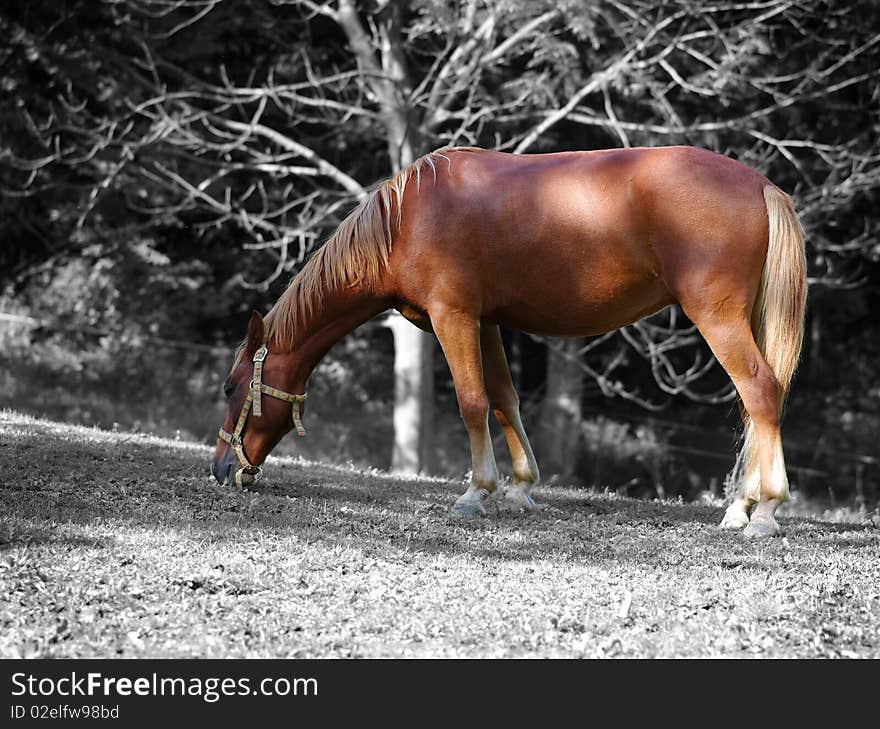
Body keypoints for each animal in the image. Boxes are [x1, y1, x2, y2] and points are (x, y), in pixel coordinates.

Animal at [211, 145, 804, 536]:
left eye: (229, 388)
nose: (220, 470)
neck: (407, 220)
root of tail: (761, 185)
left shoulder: (452, 317)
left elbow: (472, 402)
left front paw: (476, 493)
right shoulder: (486, 322)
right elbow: (503, 400)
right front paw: (519, 487)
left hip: (717, 318)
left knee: (760, 393)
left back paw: (764, 511)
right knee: (754, 404)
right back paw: (741, 506)